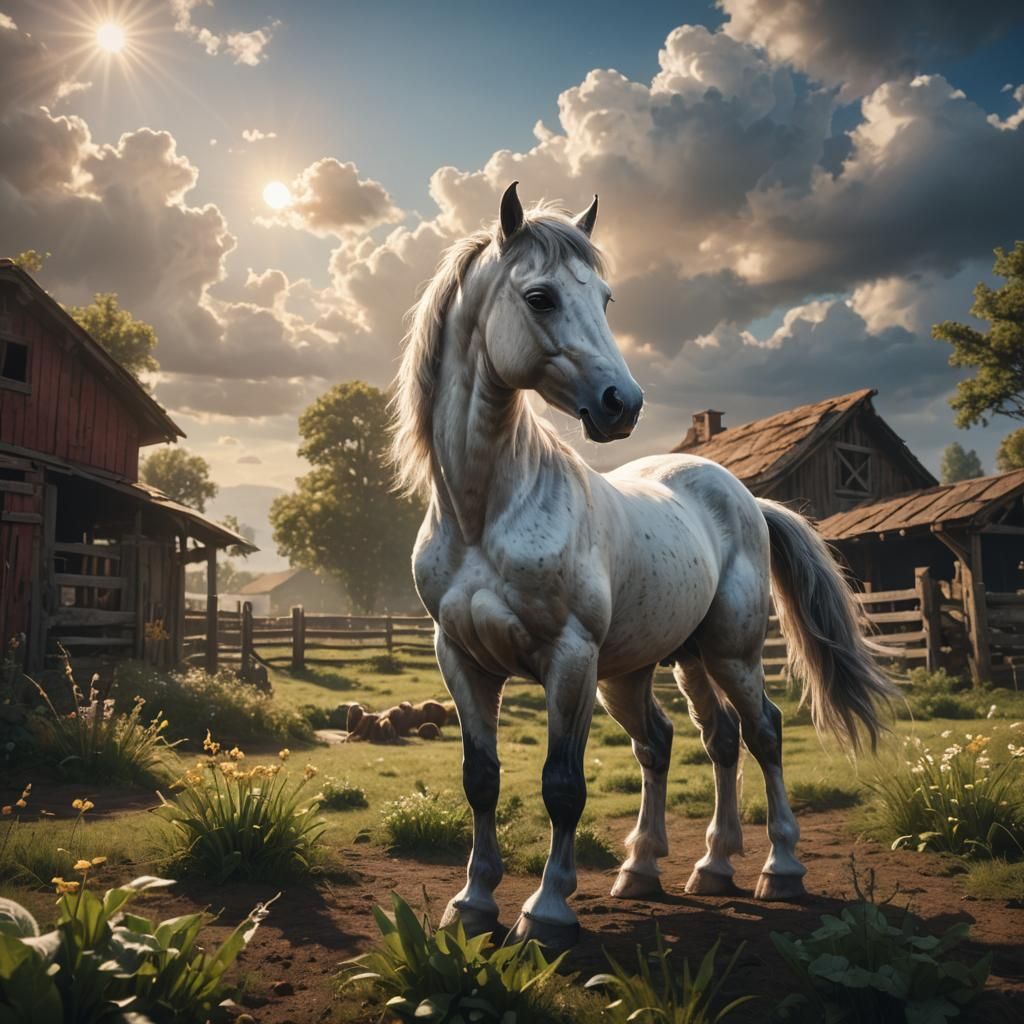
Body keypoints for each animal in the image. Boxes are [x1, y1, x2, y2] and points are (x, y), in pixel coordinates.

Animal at [391, 182, 895, 950]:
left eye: (605, 298)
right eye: (539, 297)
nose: (620, 404)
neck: (485, 513)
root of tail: (742, 496)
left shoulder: (568, 659)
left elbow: (561, 785)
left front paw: (547, 911)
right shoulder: (463, 661)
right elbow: (482, 779)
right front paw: (473, 904)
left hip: (729, 654)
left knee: (763, 732)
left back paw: (778, 868)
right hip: (652, 668)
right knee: (690, 742)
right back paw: (678, 868)